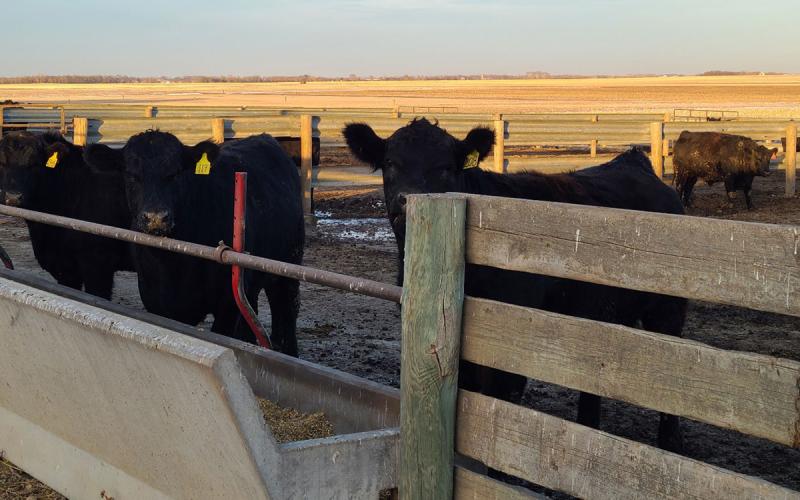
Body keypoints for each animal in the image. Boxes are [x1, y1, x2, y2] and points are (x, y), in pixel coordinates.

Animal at [84, 131, 304, 353]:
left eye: (175, 173)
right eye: (131, 174)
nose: (156, 218)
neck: (173, 264)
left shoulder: (227, 303)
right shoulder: (154, 298)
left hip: (289, 262)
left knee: (287, 308)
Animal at [344, 118, 687, 452]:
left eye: (446, 166)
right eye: (390, 162)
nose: (407, 200)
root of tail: (633, 161)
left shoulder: (508, 346)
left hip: (668, 312)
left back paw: (670, 444)